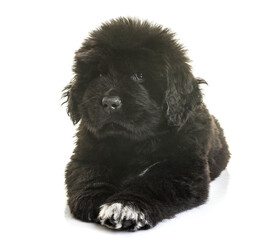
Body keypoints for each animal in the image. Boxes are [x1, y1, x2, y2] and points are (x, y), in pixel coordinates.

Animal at [64, 17, 232, 232]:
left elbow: (153, 184)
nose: (110, 102)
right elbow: (90, 175)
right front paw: (95, 200)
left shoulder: (182, 169)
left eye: (140, 75)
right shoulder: (87, 153)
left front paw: (125, 207)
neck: (135, 142)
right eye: (100, 74)